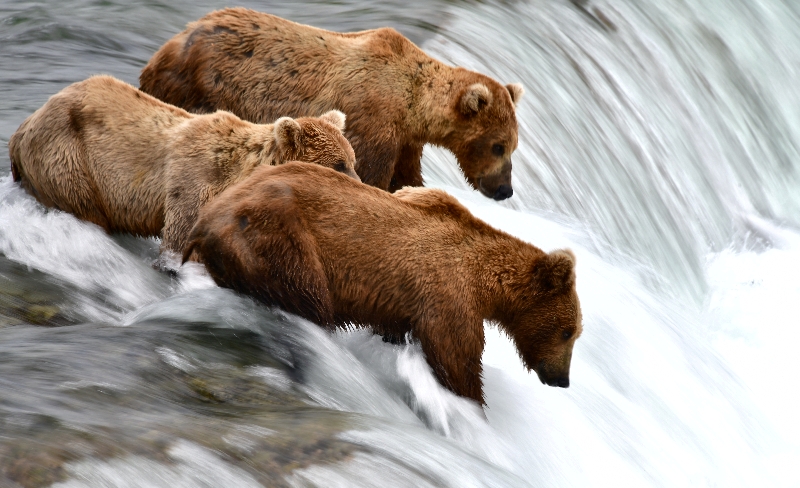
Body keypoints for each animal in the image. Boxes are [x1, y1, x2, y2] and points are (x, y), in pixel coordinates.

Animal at [7, 75, 358, 255]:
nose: (359, 185)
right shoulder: (192, 182)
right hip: (69, 159)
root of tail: (23, 126)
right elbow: (179, 237)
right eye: (339, 164)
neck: (238, 173)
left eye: (353, 160)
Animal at [138, 7, 524, 199]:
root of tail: (174, 39)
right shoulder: (372, 117)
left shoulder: (405, 139)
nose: (505, 190)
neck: (411, 103)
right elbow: (371, 172)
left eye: (513, 147)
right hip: (198, 86)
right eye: (498, 145)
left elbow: (407, 176)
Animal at [181, 162, 580, 406]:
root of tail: (206, 222)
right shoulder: (448, 296)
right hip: (279, 239)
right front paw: (473, 408)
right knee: (310, 303)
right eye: (567, 331)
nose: (562, 379)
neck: (485, 283)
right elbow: (457, 361)